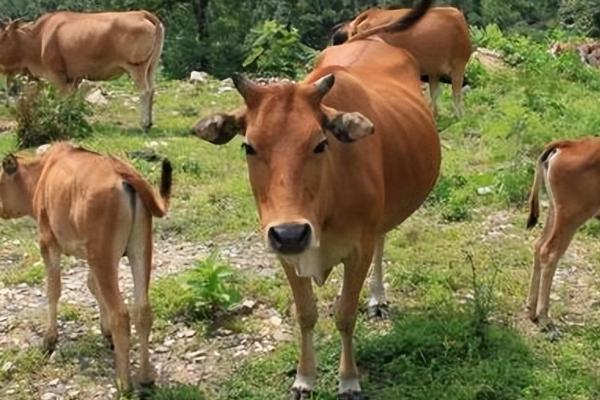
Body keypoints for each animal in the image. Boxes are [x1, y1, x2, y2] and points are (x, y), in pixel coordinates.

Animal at [0, 142, 171, 392]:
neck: (42, 174)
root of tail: (125, 177)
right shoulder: (92, 257)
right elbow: (92, 286)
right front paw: (105, 331)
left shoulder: (48, 243)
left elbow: (53, 290)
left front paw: (49, 340)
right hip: (140, 250)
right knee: (143, 310)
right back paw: (146, 377)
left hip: (103, 256)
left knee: (122, 314)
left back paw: (124, 382)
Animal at [195, 0, 438, 396]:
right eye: (249, 146)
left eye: (321, 143)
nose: (292, 232)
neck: (324, 206)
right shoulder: (284, 251)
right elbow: (306, 314)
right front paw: (304, 378)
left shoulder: (358, 248)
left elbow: (345, 313)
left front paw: (349, 380)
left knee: (382, 241)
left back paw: (378, 297)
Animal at [330, 6, 472, 117]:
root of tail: (371, 14)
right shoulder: (458, 64)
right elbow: (456, 93)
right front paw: (459, 117)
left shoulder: (433, 72)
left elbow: (434, 93)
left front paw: (435, 114)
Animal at [528, 136, 600, 332]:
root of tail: (569, 144)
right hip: (571, 217)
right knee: (550, 252)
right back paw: (543, 317)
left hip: (555, 212)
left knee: (539, 245)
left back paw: (531, 310)